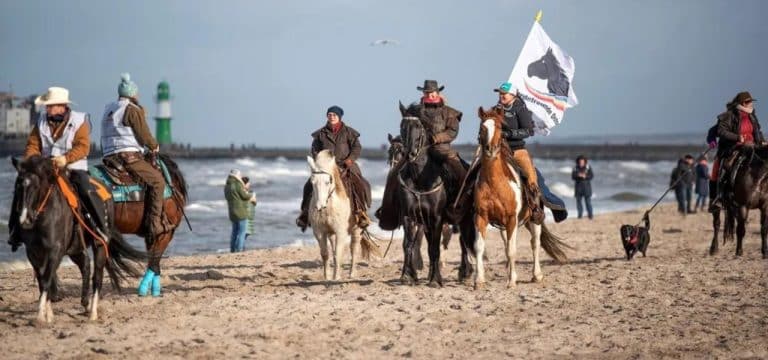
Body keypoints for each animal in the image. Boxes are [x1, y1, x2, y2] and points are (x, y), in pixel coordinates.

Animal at [11, 156, 146, 322]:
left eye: (36, 187)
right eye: (18, 186)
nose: (25, 220)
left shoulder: (56, 251)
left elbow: (47, 278)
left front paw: (41, 315)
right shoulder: (33, 253)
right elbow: (43, 281)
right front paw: (48, 314)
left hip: (99, 245)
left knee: (97, 276)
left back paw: (93, 312)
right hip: (75, 249)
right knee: (85, 265)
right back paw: (85, 303)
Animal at [396, 102, 474, 286]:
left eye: (419, 126)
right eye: (402, 126)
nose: (410, 154)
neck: (420, 178)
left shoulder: (437, 218)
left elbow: (435, 248)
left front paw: (436, 280)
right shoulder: (410, 217)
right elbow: (408, 245)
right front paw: (407, 275)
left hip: (464, 218)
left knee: (463, 243)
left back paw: (464, 272)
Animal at [472, 107, 568, 290]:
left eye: (500, 128)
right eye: (482, 127)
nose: (490, 149)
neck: (495, 182)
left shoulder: (512, 219)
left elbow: (512, 250)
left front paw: (512, 281)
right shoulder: (482, 217)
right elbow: (479, 247)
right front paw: (479, 280)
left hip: (534, 220)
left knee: (534, 243)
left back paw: (536, 275)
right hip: (504, 226)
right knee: (507, 245)